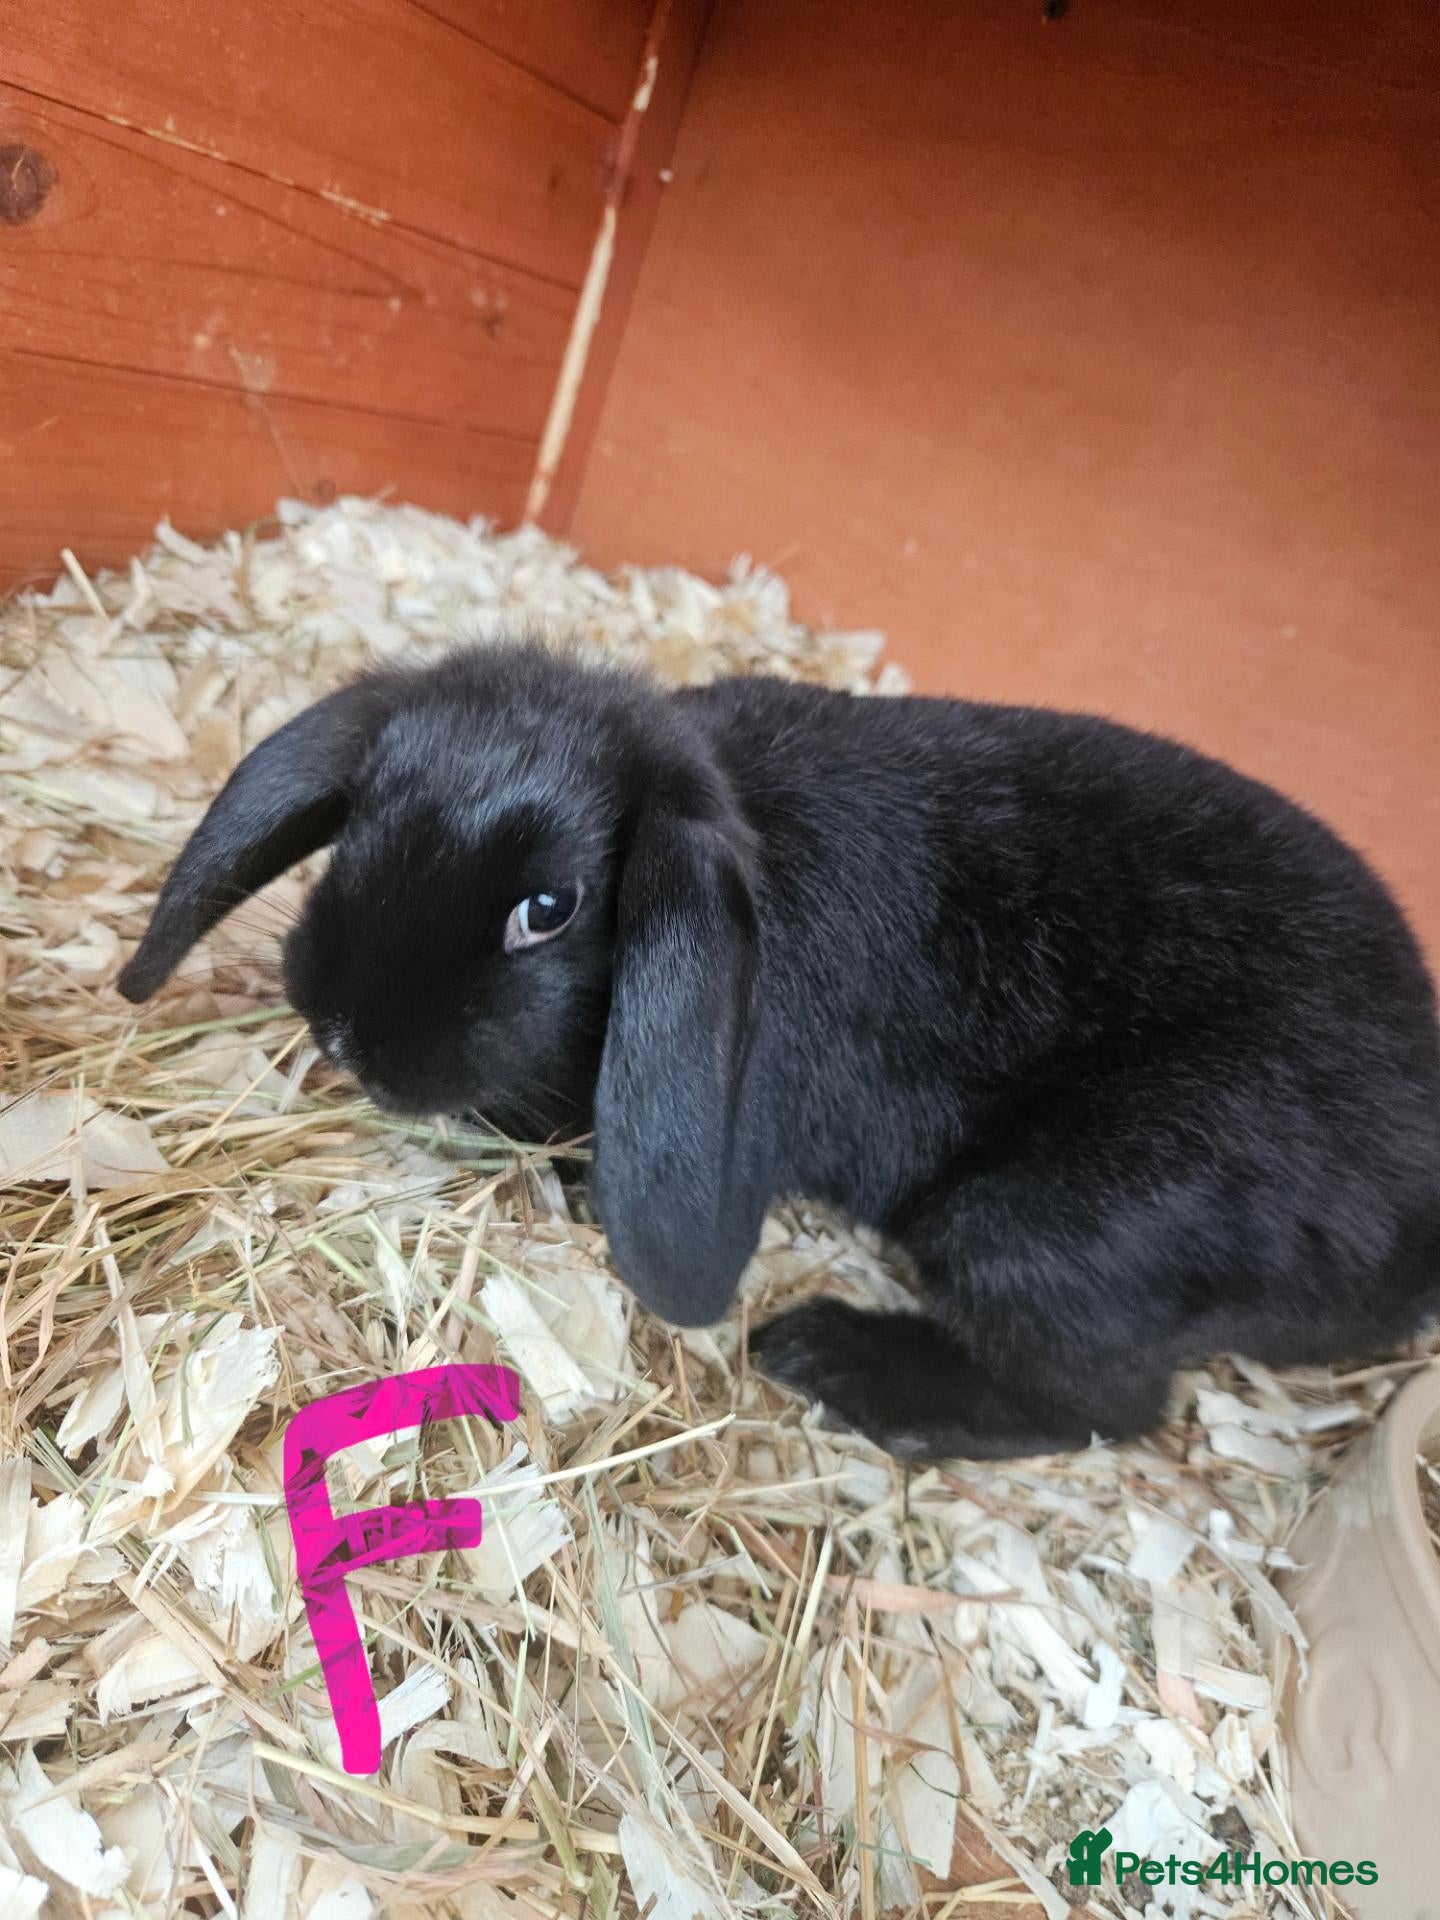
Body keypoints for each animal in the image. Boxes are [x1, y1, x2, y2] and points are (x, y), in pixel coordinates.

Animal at [118, 639, 1440, 1461]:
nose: (347, 1030)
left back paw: (834, 1359)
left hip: (1050, 1226)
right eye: (365, 817)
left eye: (548, 909)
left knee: (1106, 1403)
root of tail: (1403, 1250)